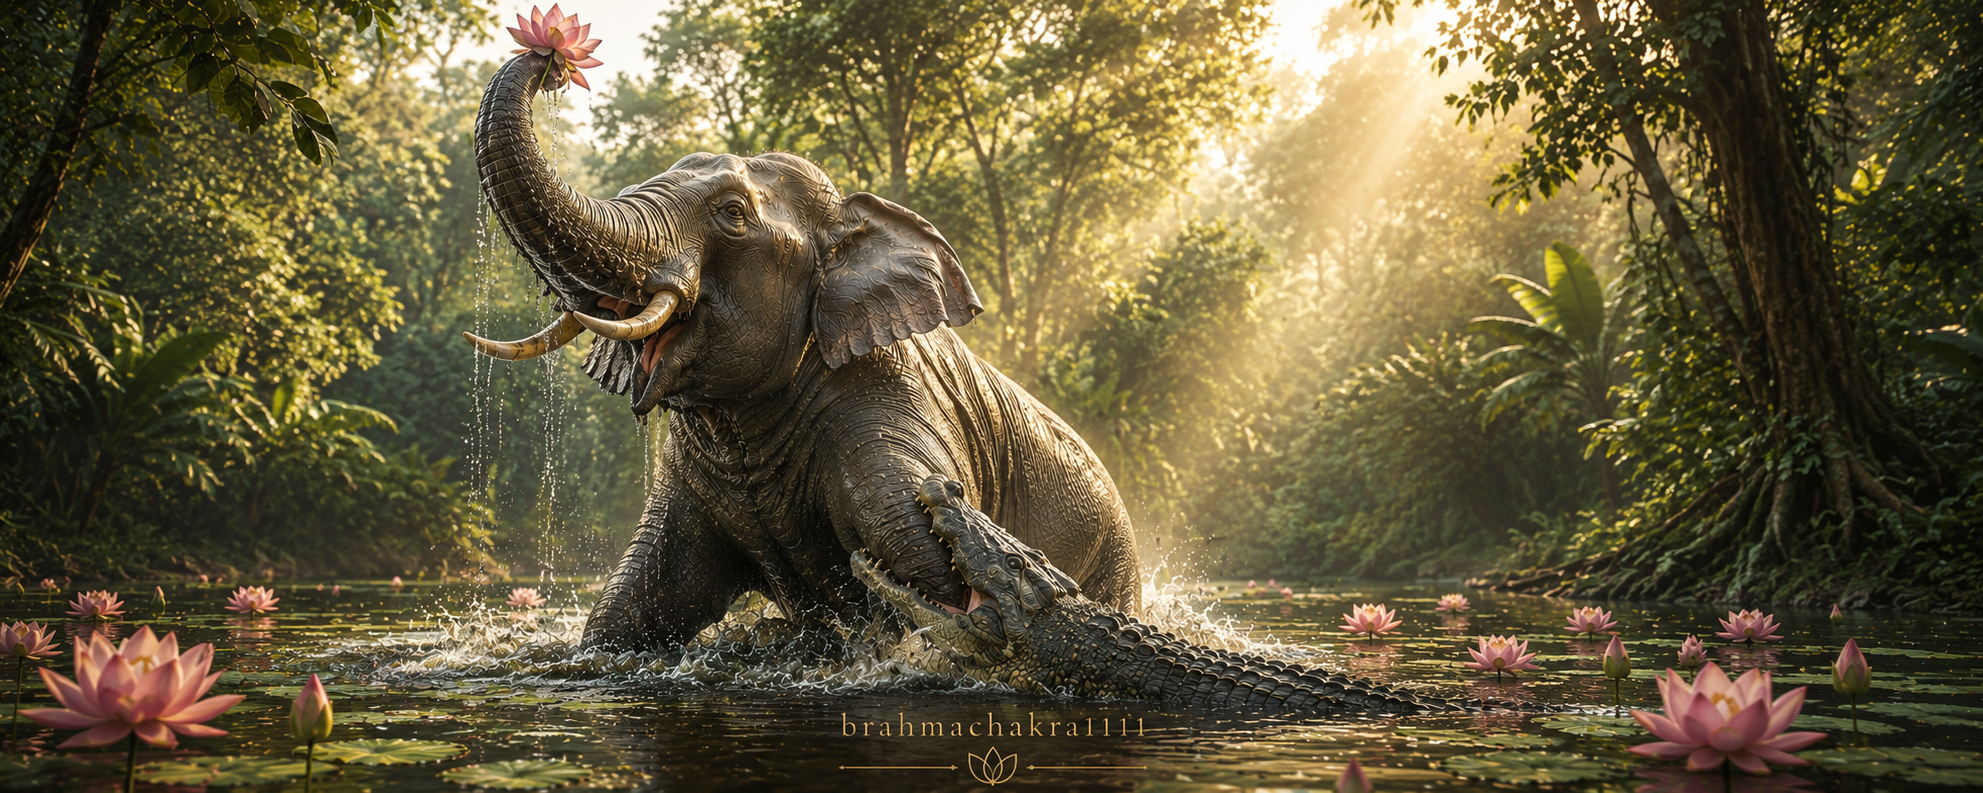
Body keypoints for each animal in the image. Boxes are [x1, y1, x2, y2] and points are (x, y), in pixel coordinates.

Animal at [464, 52, 1141, 653]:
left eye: (732, 212)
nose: (549, 59)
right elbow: (630, 608)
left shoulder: (885, 403)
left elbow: (919, 549)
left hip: (1115, 558)